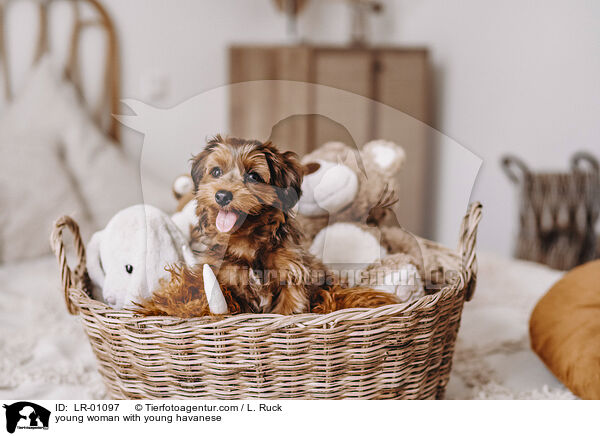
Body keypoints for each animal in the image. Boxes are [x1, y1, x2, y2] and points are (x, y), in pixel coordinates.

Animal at [142, 135, 398, 316]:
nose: (222, 195)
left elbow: (288, 309)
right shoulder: (225, 280)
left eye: (254, 176)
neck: (247, 243)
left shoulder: (292, 277)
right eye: (216, 171)